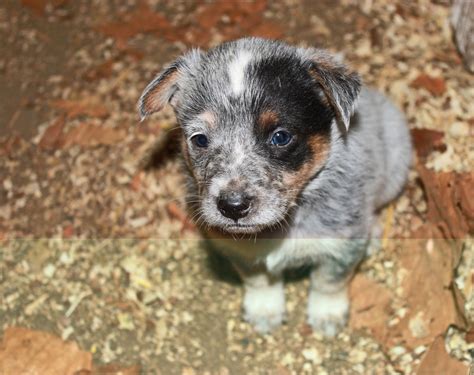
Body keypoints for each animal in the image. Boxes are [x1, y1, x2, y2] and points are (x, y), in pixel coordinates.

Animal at [137, 38, 412, 336]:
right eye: (200, 139)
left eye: (280, 137)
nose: (233, 206)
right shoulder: (239, 251)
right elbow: (258, 279)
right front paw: (264, 310)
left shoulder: (342, 245)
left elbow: (328, 282)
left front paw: (326, 315)